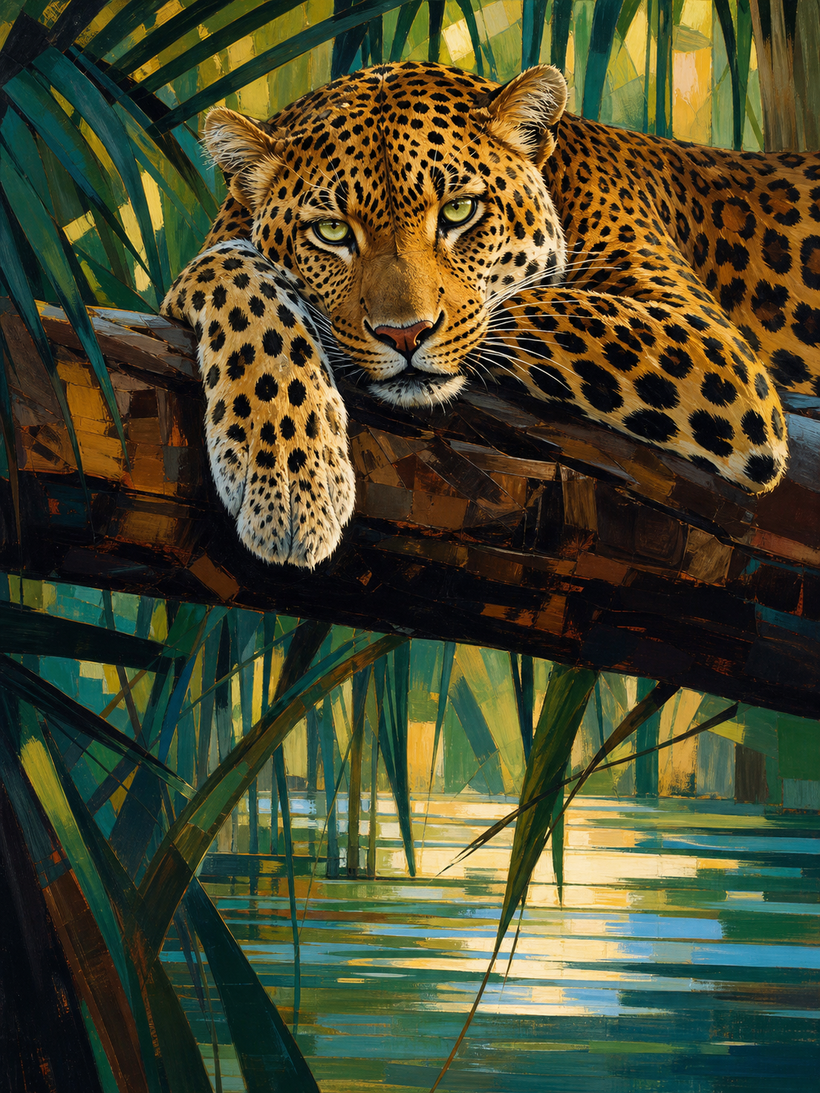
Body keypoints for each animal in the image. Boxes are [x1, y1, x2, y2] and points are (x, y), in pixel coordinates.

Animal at [161, 60, 820, 568]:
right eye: (330, 232)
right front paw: (290, 481)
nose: (405, 335)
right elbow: (230, 265)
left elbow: (515, 307)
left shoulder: (716, 351)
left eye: (459, 211)